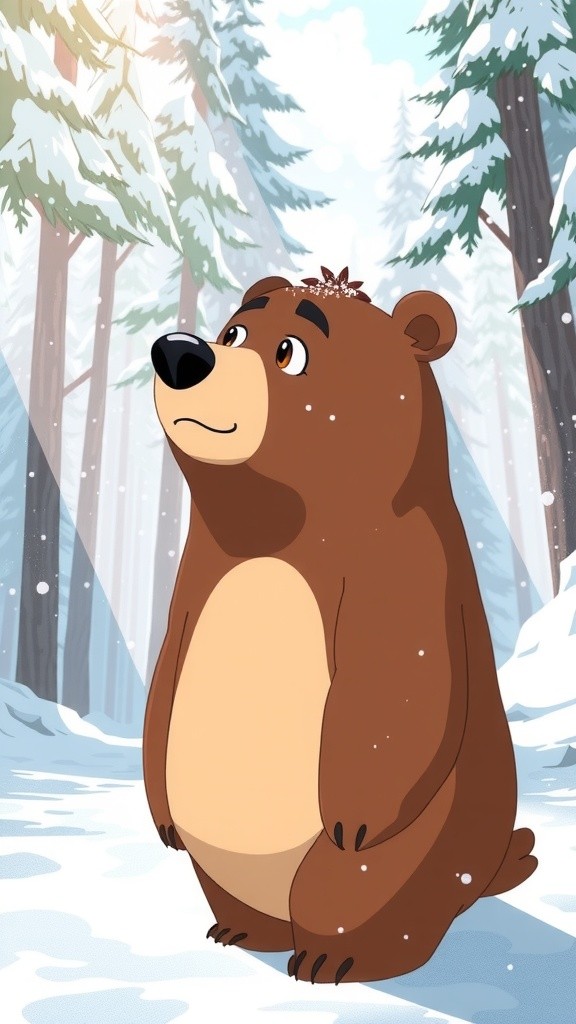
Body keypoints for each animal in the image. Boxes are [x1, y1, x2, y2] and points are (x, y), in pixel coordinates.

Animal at [143, 266, 536, 985]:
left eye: (292, 351)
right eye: (234, 331)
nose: (181, 353)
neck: (273, 530)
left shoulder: (403, 564)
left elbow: (398, 686)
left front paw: (354, 817)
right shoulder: (195, 578)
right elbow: (165, 680)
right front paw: (160, 818)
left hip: (420, 844)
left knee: (351, 892)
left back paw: (337, 956)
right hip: (222, 864)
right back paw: (241, 930)